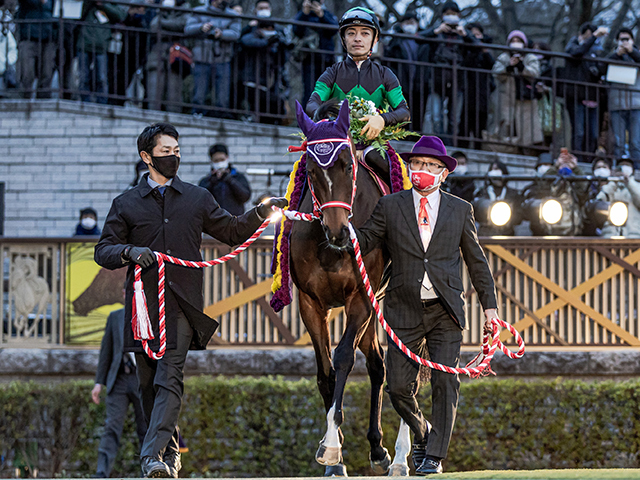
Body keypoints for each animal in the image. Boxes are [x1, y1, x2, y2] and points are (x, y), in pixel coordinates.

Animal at [288, 102, 390, 476]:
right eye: (311, 170)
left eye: (347, 164)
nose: (337, 232)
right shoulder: (310, 303)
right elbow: (325, 372)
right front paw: (336, 454)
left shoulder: (360, 298)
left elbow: (344, 357)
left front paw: (332, 445)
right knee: (376, 362)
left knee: (386, 364)